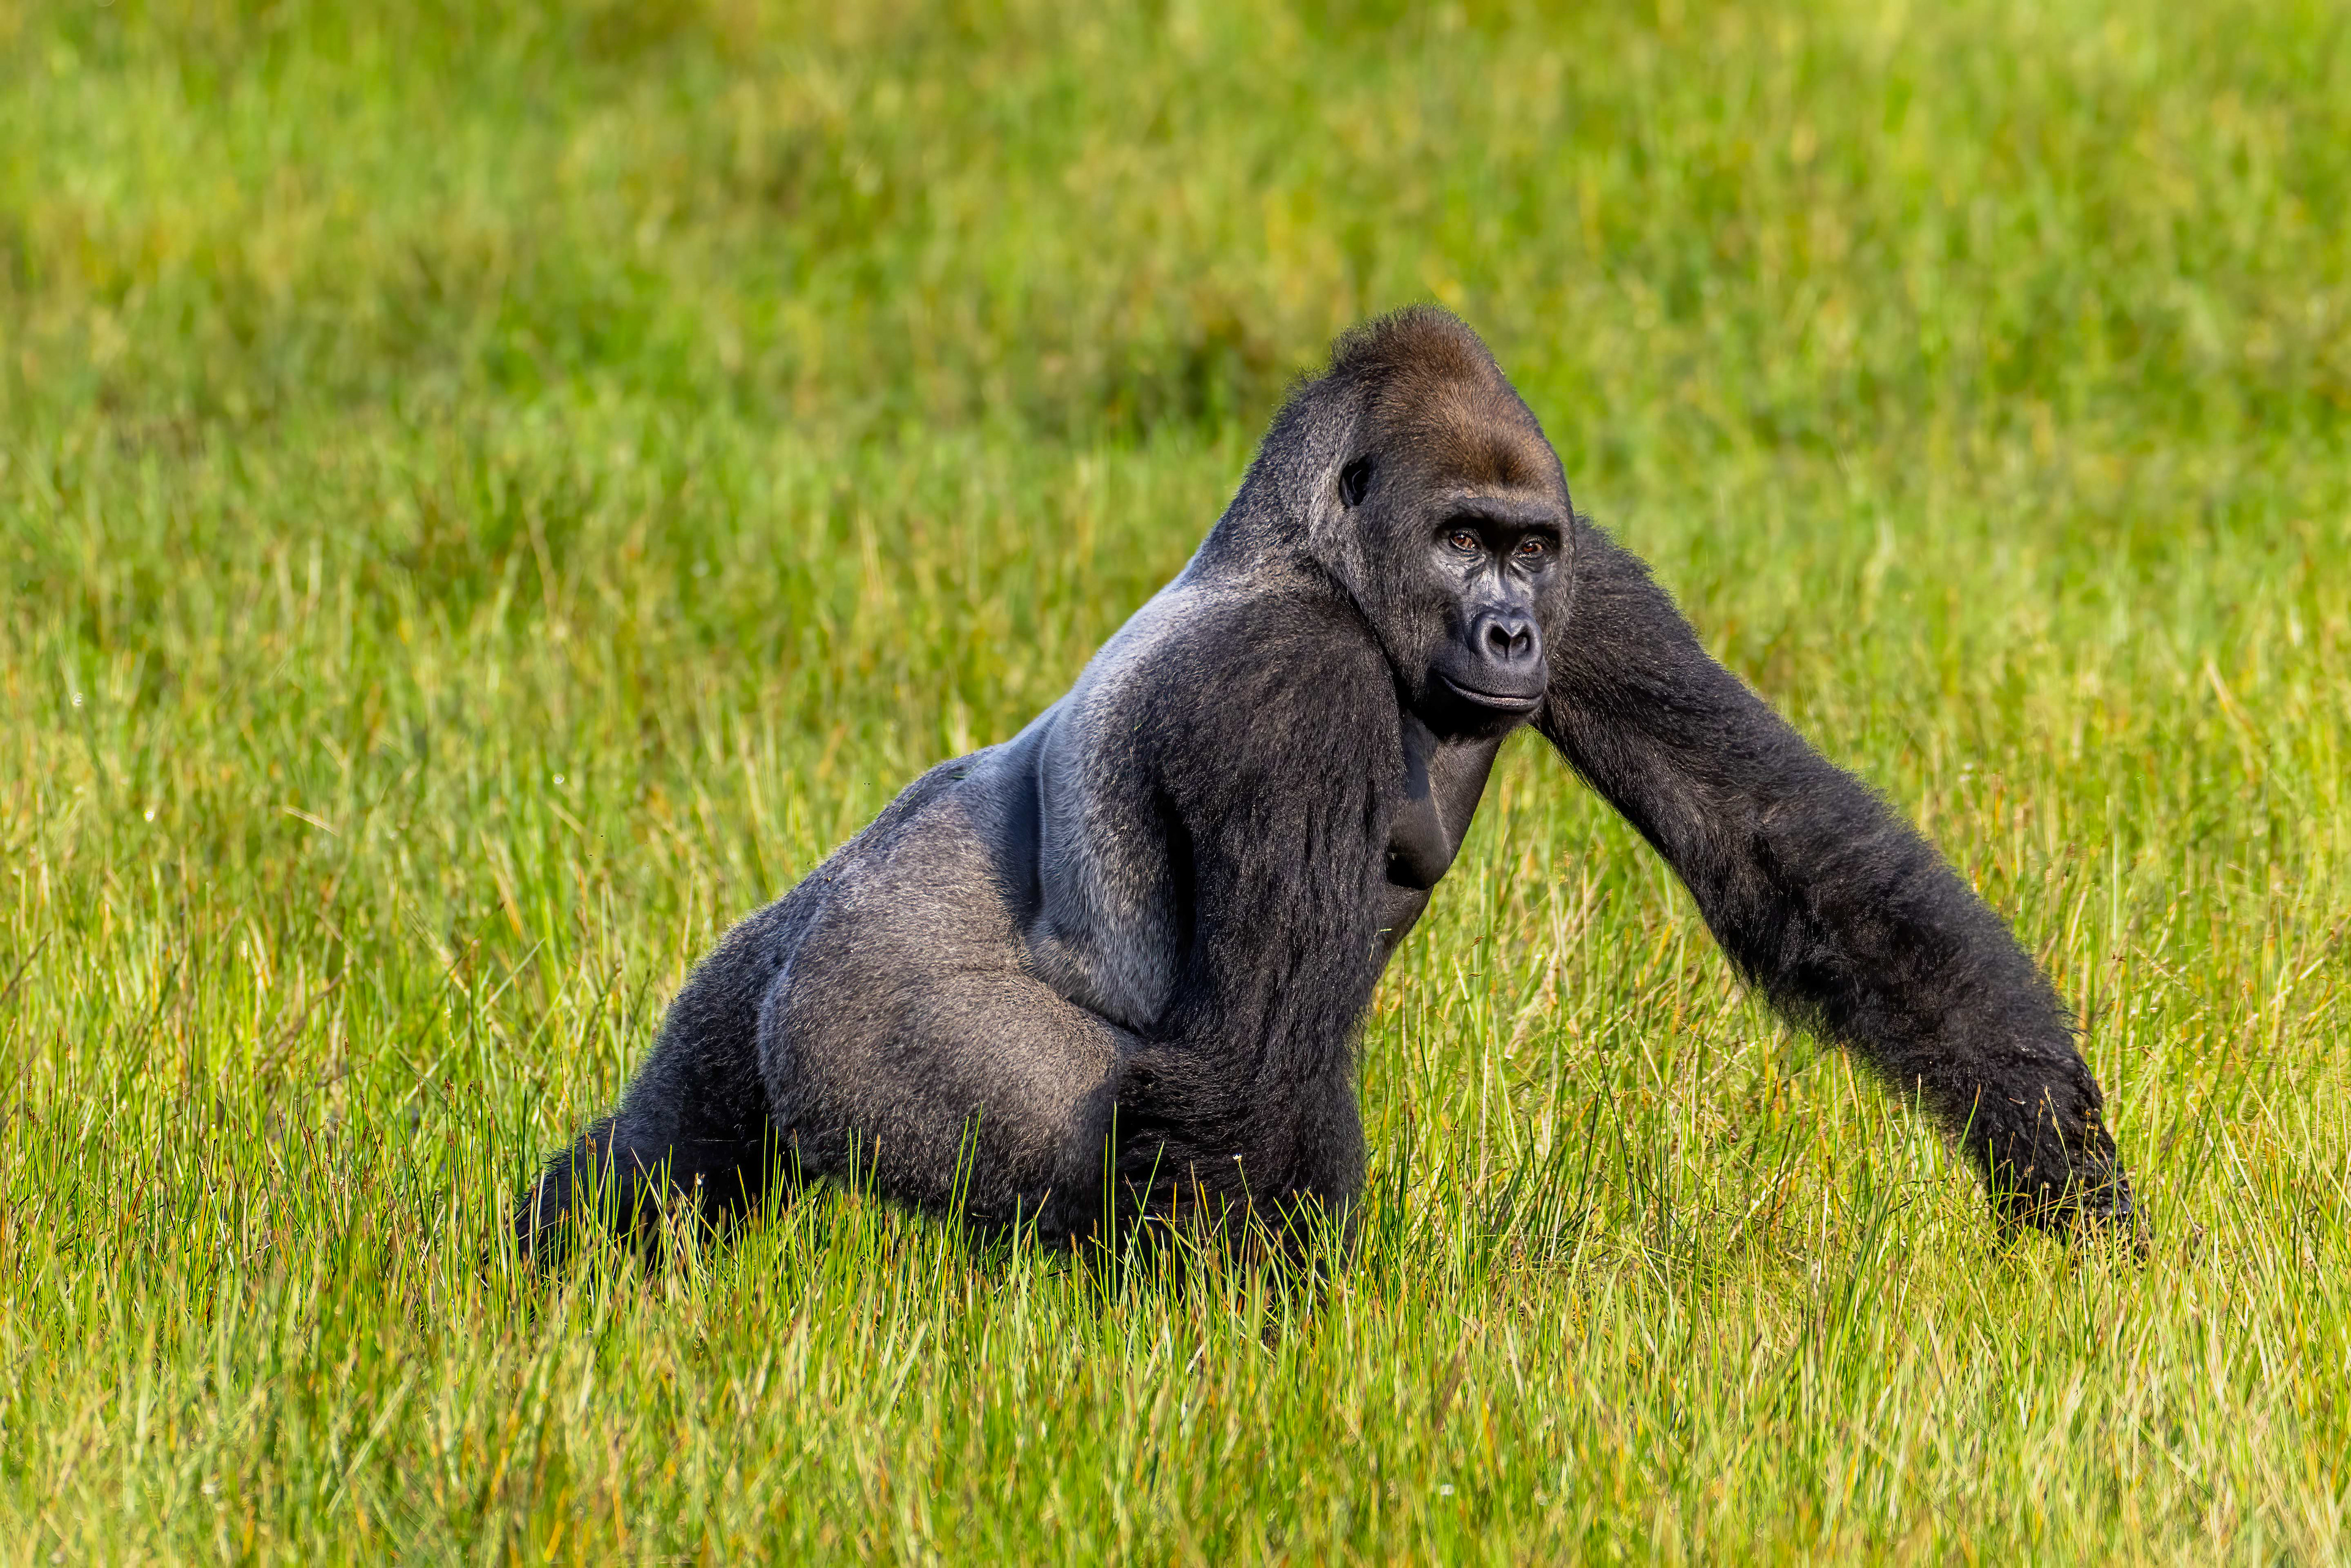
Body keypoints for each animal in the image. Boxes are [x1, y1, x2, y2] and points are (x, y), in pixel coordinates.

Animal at [512, 306, 2132, 1270]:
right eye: (1460, 538)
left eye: (1525, 546)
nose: (1510, 631)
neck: (1314, 553)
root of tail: (812, 919)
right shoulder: (1285, 690)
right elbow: (1243, 1062)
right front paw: (1266, 1347)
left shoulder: (1598, 584)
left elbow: (1783, 849)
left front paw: (2060, 1168)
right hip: (869, 1009)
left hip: (746, 989)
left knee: (665, 1153)